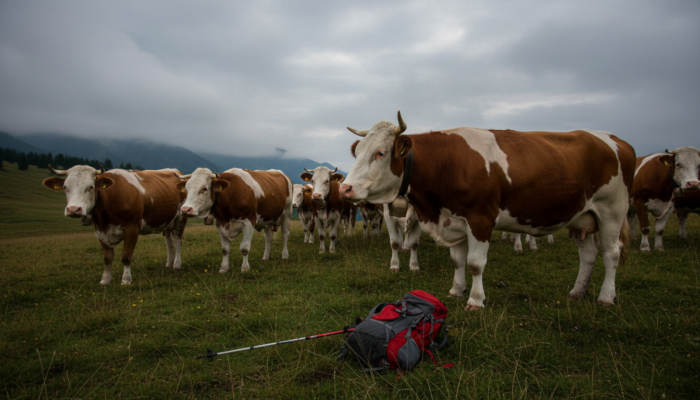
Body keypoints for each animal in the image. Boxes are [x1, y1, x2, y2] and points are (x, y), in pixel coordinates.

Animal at [42, 165, 188, 285]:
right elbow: (107, 258)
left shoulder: (132, 228)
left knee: (178, 241)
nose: (73, 209)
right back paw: (169, 263)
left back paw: (176, 264)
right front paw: (105, 279)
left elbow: (126, 256)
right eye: (65, 187)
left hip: (181, 217)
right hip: (168, 221)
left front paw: (126, 280)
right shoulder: (100, 231)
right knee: (169, 242)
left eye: (91, 187)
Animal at [339, 111, 635, 311]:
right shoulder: (453, 220)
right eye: (358, 151)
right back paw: (577, 292)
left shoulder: (480, 219)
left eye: (380, 153)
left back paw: (606, 296)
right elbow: (458, 261)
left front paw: (475, 300)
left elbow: (474, 263)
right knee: (588, 254)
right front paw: (456, 290)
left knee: (611, 253)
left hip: (612, 210)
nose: (345, 188)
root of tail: (615, 139)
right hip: (581, 216)